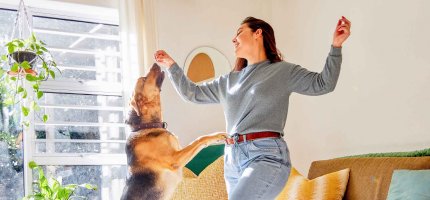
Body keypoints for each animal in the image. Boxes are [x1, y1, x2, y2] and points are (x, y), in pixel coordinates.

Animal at [122, 63, 225, 200]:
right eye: (143, 80)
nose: (155, 63)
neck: (146, 126)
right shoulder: (175, 159)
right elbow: (200, 139)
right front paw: (218, 135)